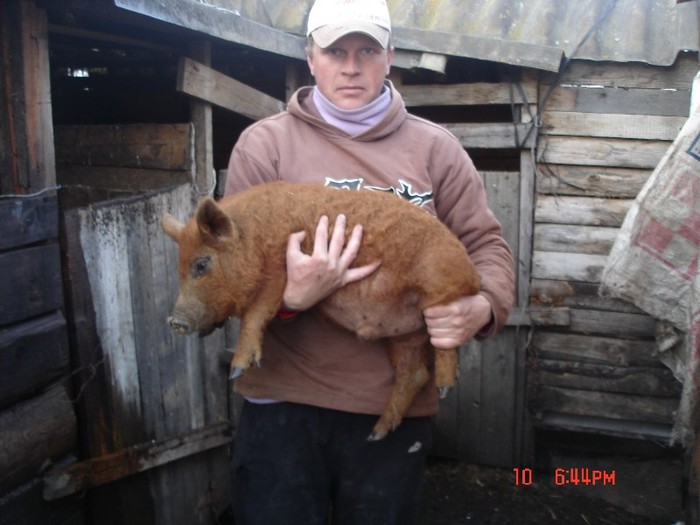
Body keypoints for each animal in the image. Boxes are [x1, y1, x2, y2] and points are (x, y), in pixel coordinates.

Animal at [163, 182, 482, 440]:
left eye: (201, 264)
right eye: (178, 268)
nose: (174, 321)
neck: (255, 238)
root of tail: (472, 274)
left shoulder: (277, 275)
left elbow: (256, 313)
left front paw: (238, 369)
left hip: (439, 289)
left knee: (445, 342)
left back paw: (444, 387)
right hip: (405, 334)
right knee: (414, 373)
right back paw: (376, 433)